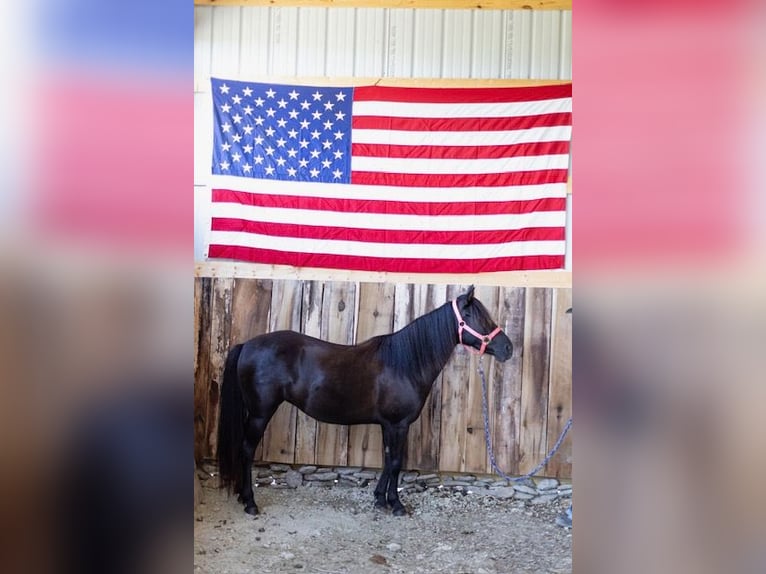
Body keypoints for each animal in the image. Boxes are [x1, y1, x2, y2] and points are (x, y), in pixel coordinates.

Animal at [217, 286, 512, 516]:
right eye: (476, 316)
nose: (508, 348)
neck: (404, 363)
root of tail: (247, 345)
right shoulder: (398, 424)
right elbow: (396, 462)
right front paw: (396, 505)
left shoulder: (388, 425)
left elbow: (387, 459)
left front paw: (380, 499)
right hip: (260, 414)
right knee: (246, 450)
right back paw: (250, 503)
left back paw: (243, 496)